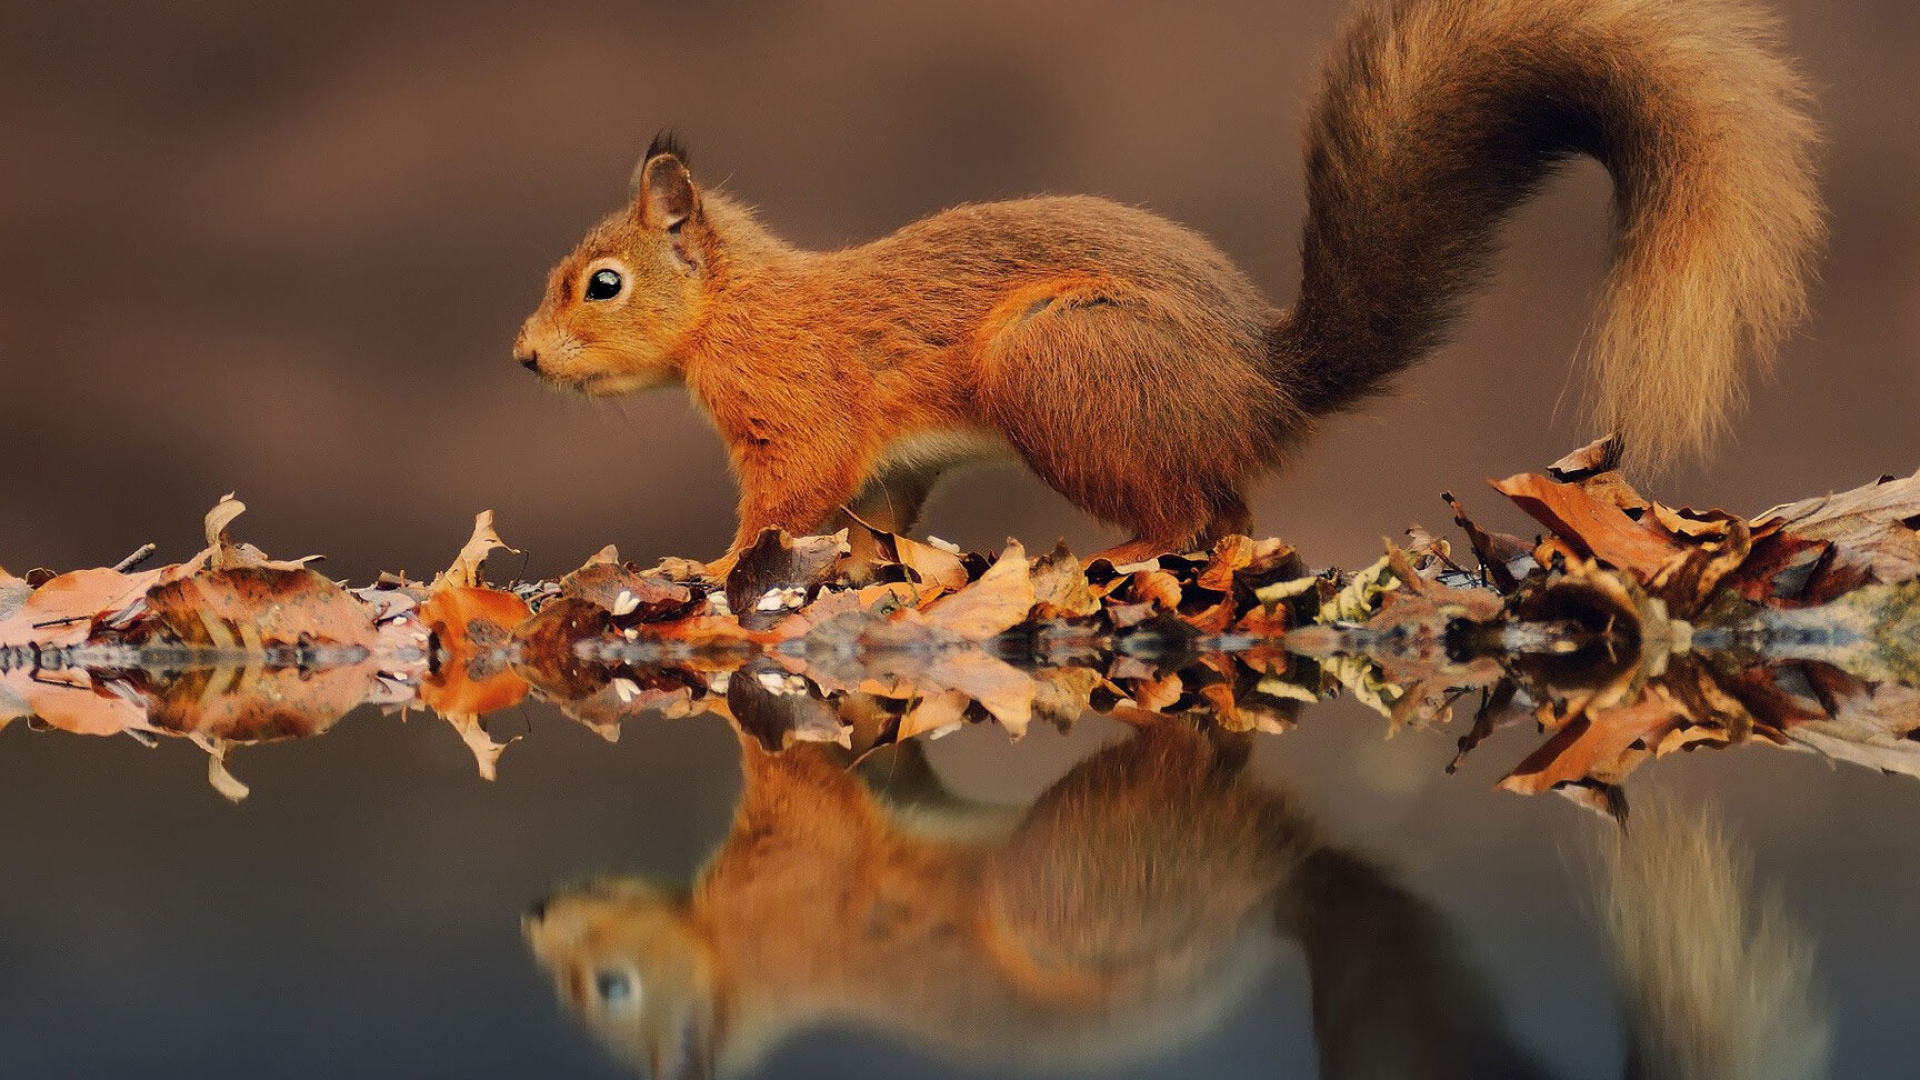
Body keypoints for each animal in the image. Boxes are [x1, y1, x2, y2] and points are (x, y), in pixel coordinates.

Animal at [514, 0, 1827, 572]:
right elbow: (873, 511)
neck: (733, 308)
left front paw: (707, 570)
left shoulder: (798, 409)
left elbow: (785, 498)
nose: (523, 358)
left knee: (1183, 514)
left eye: (602, 284)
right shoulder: (886, 465)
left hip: (1059, 367)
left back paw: (1112, 559)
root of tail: (1261, 383)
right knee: (1228, 513)